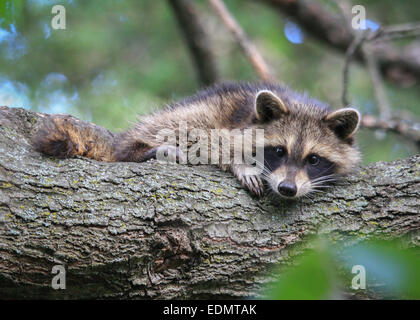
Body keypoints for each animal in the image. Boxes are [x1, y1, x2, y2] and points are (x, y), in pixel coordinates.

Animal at [33, 82, 360, 198]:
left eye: (313, 159)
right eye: (279, 151)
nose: (287, 189)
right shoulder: (231, 120)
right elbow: (214, 141)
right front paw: (240, 163)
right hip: (184, 113)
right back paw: (142, 150)